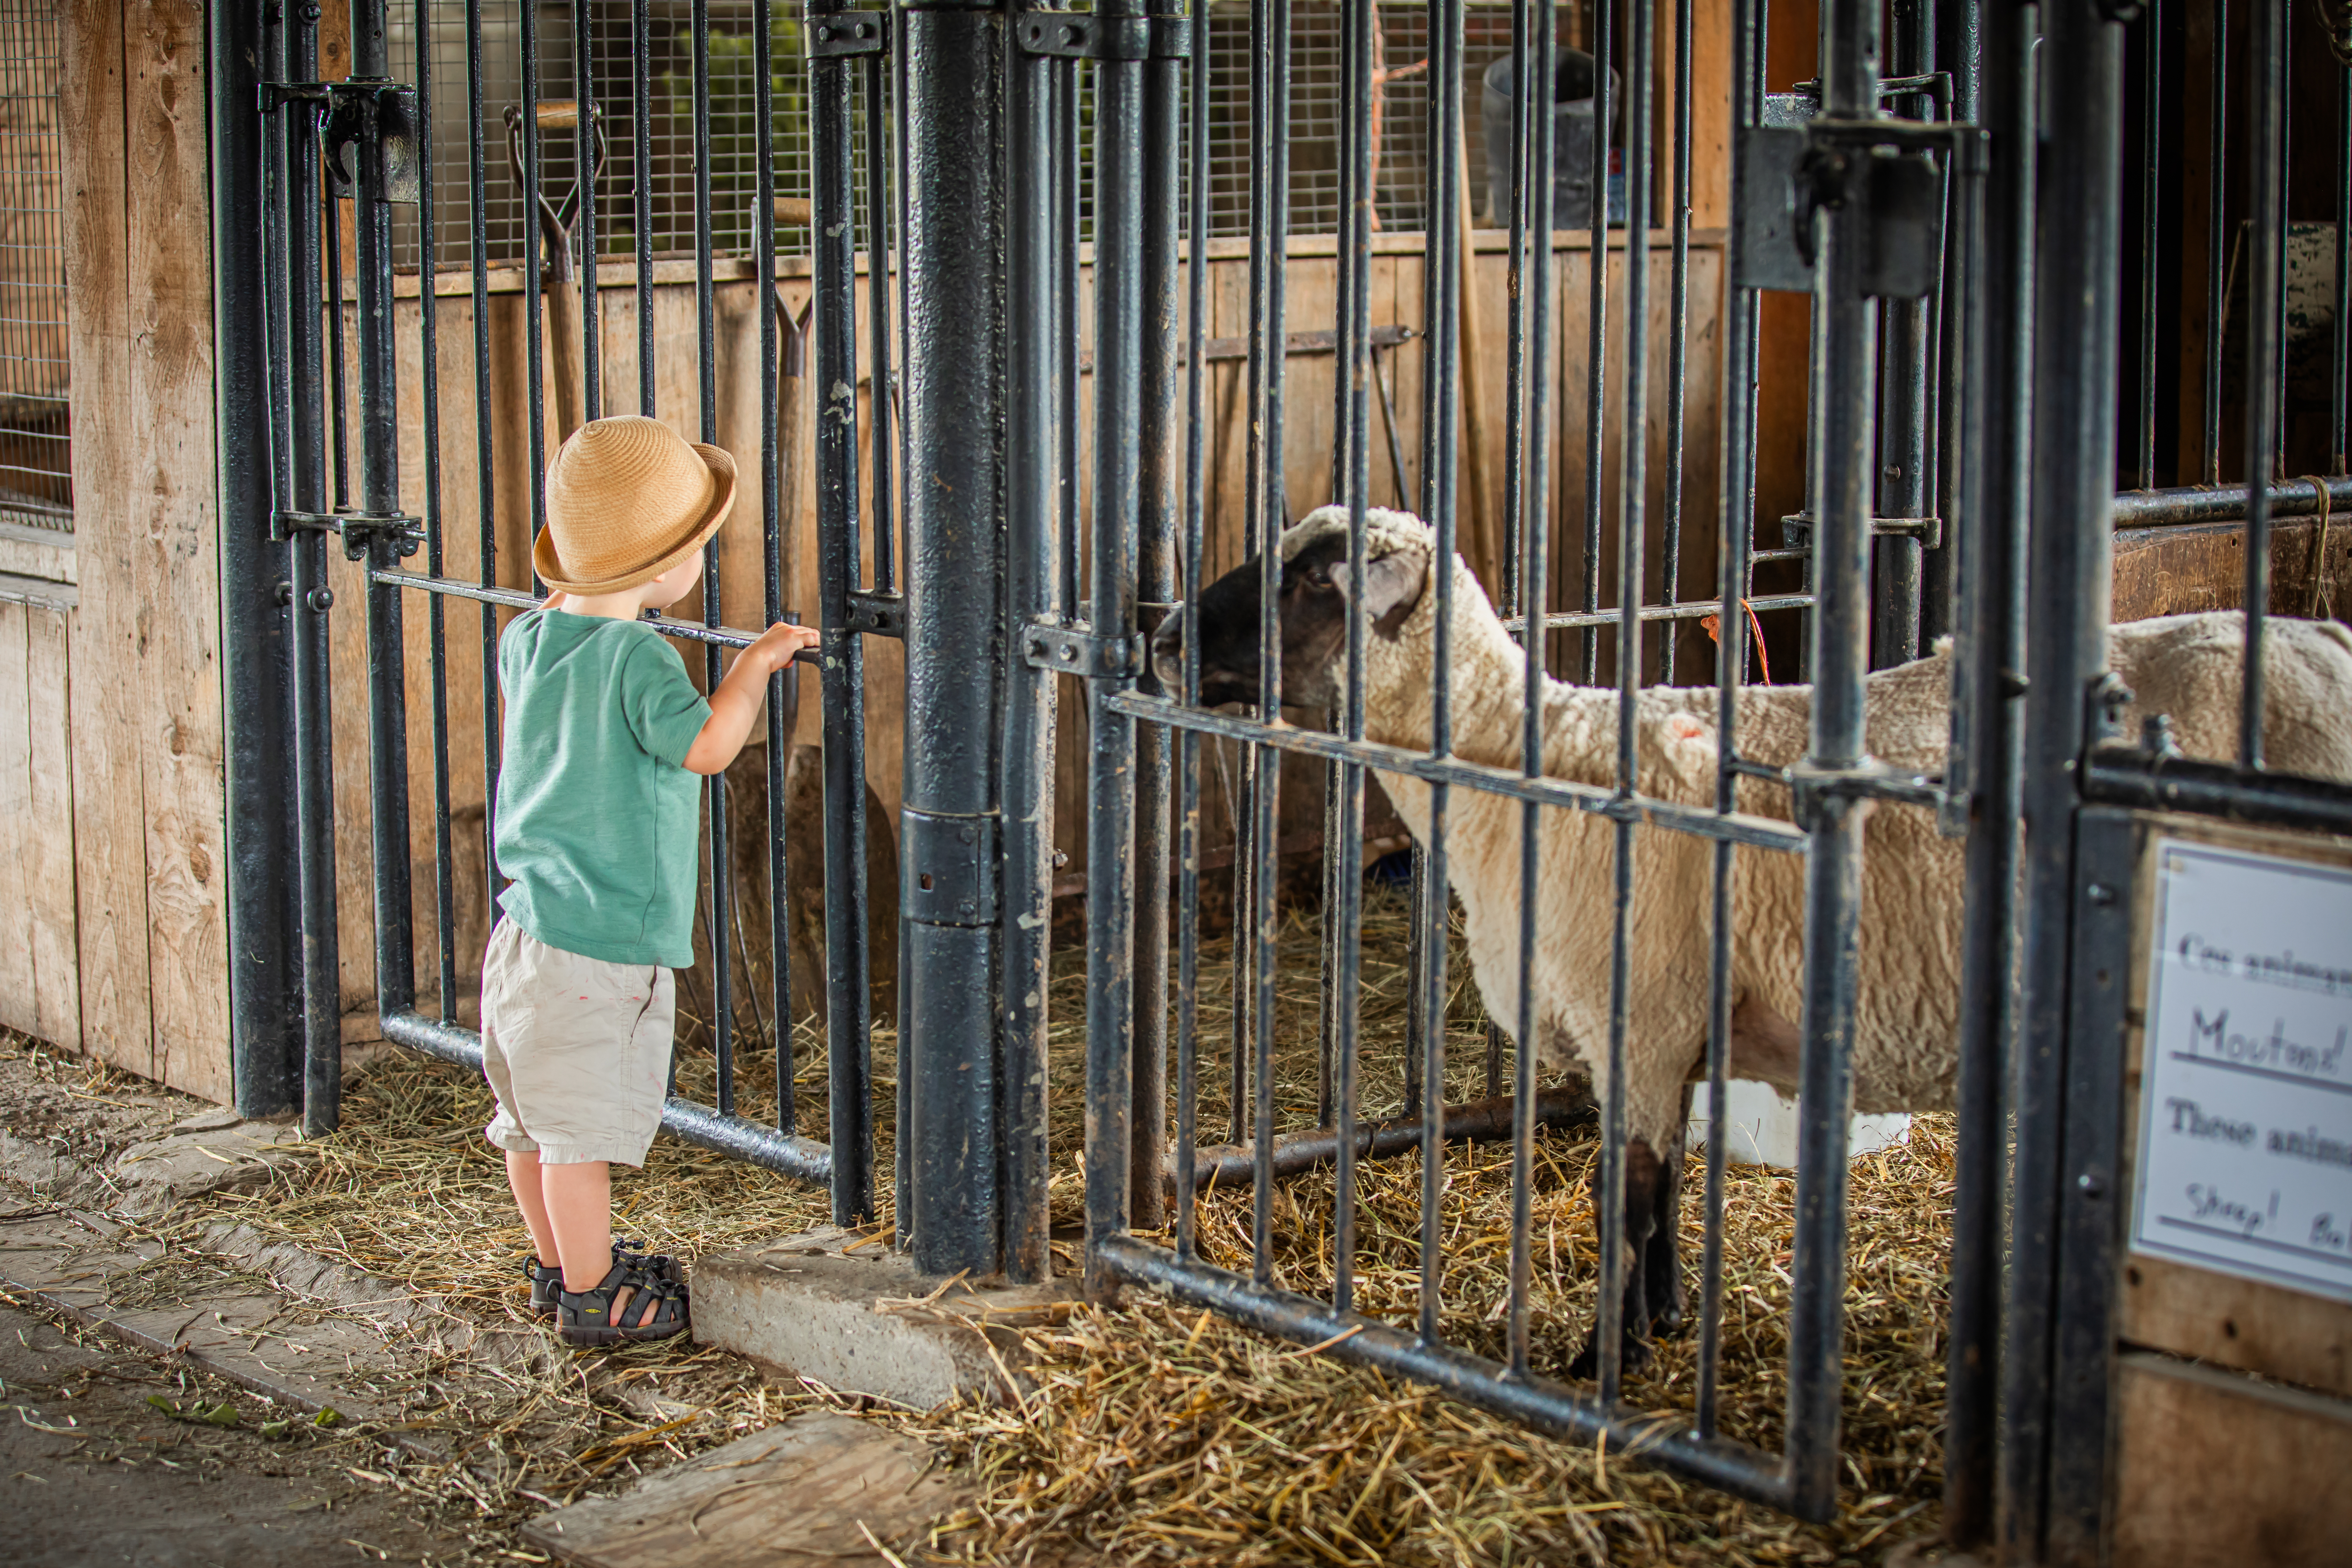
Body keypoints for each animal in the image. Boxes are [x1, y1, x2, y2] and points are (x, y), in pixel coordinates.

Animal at [1157, 505, 2352, 1373]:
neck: (1522, 769)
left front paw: (1602, 1362)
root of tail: (2321, 641)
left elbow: (1626, 1199)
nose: (1161, 636)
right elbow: (1670, 1190)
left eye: (1310, 579)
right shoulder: (1671, 1028)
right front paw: (1666, 1322)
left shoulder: (1635, 1014)